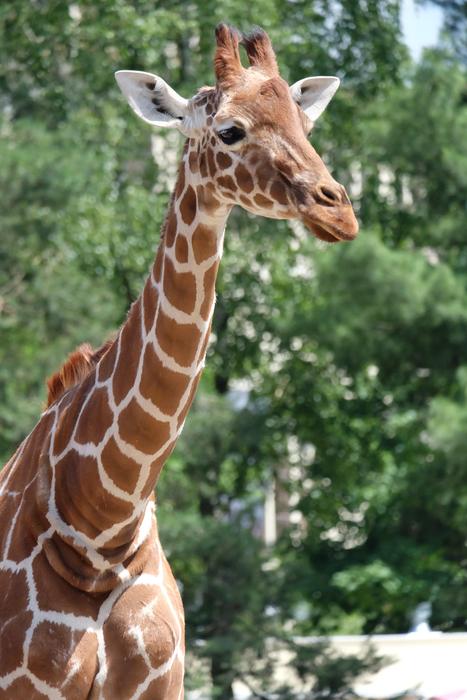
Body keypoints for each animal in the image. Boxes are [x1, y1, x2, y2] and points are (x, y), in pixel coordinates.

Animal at [0, 24, 358, 700]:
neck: (101, 527)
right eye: (231, 131)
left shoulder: (161, 683)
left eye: (305, 125)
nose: (338, 210)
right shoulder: (25, 684)